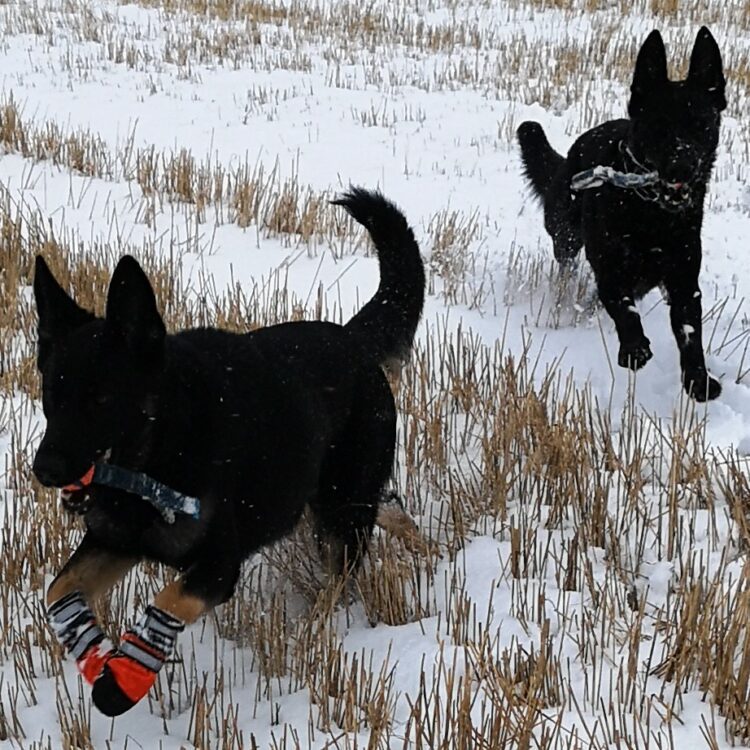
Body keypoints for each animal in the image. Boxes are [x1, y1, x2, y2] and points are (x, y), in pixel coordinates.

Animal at [32, 187, 426, 716]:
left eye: (102, 400)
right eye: (51, 396)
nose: (44, 470)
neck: (162, 448)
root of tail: (353, 339)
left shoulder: (218, 566)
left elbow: (167, 600)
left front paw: (124, 679)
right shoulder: (115, 540)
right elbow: (58, 590)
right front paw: (95, 654)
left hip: (341, 508)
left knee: (340, 579)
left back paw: (313, 632)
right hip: (330, 498)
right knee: (389, 511)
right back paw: (424, 549)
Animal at [520, 27, 724, 406]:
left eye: (701, 125)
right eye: (659, 126)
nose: (683, 168)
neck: (652, 215)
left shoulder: (684, 281)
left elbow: (691, 332)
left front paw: (698, 379)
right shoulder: (610, 270)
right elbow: (623, 308)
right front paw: (633, 348)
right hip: (565, 237)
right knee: (568, 273)